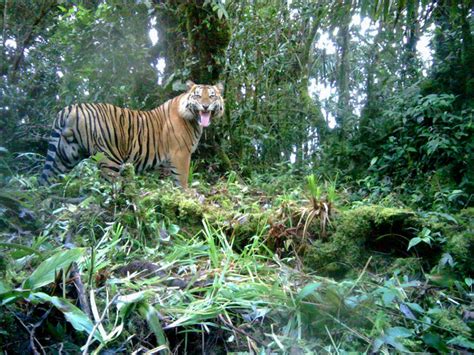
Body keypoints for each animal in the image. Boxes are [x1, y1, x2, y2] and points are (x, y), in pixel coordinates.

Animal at [39, 79, 224, 188]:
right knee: (114, 186)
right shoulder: (181, 154)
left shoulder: (166, 161)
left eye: (212, 96)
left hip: (65, 155)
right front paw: (186, 196)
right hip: (109, 157)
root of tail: (71, 108)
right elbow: (182, 179)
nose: (205, 106)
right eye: (198, 96)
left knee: (48, 180)